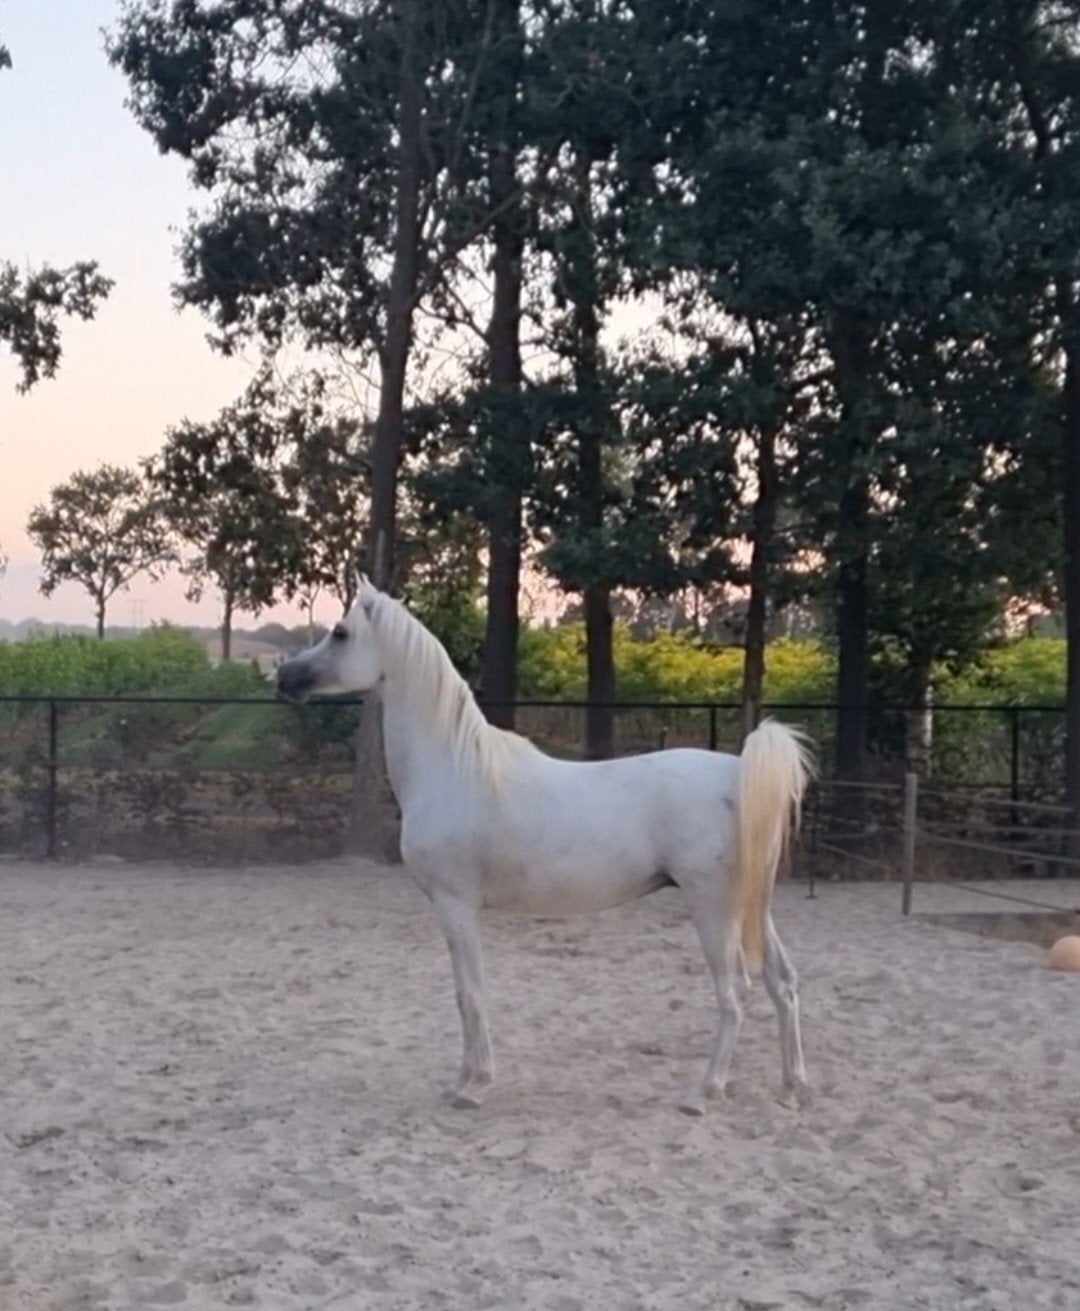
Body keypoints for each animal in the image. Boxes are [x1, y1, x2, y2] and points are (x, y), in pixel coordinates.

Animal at [277, 580, 814, 1115]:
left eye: (341, 632)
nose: (285, 677)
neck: (454, 768)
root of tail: (740, 774)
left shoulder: (456, 905)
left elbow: (469, 994)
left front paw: (472, 1084)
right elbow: (465, 994)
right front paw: (465, 1079)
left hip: (714, 909)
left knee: (735, 993)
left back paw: (705, 1093)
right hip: (753, 908)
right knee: (783, 983)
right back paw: (791, 1088)